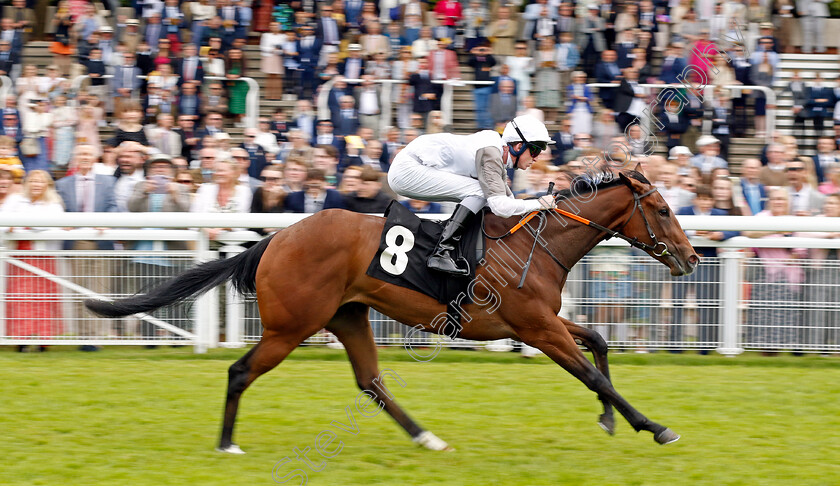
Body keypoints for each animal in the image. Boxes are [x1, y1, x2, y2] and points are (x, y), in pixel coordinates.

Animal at [87, 169, 704, 454]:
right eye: (663, 209)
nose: (693, 257)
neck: (538, 241)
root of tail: (276, 238)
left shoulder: (541, 321)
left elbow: (597, 341)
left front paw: (608, 419)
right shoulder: (536, 326)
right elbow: (590, 372)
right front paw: (654, 426)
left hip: (348, 315)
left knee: (371, 382)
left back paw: (427, 438)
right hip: (292, 325)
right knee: (241, 370)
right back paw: (227, 444)